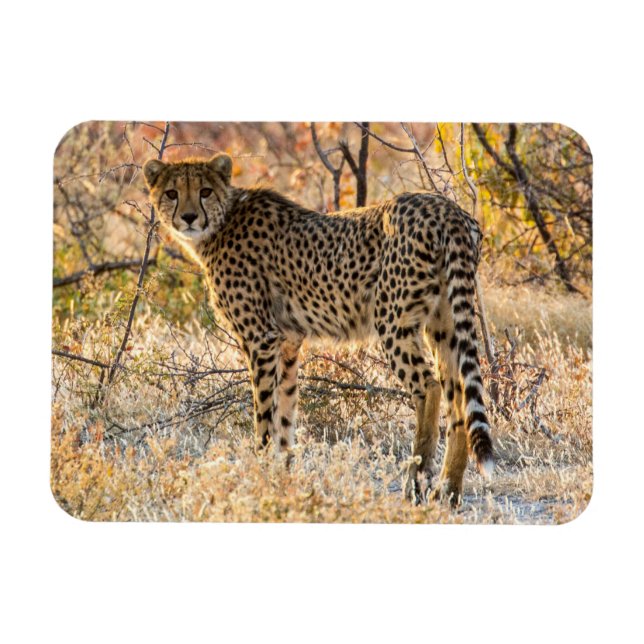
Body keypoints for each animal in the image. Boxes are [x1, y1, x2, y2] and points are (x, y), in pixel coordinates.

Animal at [143, 153, 493, 505]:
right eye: (172, 193)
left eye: (204, 191)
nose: (189, 217)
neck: (222, 221)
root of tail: (444, 207)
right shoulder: (287, 341)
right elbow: (285, 412)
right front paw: (283, 477)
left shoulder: (260, 339)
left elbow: (264, 415)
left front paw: (260, 473)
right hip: (443, 322)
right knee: (458, 396)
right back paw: (448, 490)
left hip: (393, 320)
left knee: (429, 387)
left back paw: (416, 483)